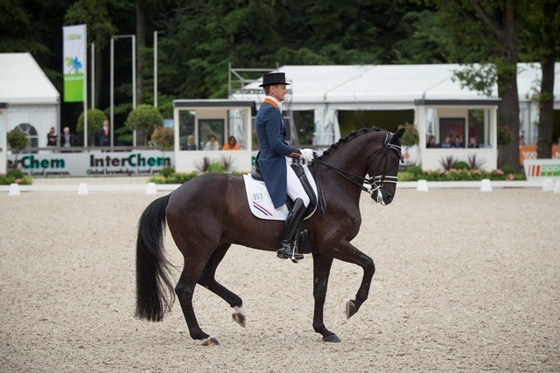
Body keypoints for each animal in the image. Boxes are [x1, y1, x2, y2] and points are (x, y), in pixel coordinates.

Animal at [136, 126, 406, 344]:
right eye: (394, 157)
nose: (388, 196)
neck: (333, 183)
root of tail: (173, 195)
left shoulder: (323, 251)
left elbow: (320, 290)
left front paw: (324, 331)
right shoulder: (334, 244)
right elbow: (369, 264)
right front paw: (353, 305)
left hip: (220, 244)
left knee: (206, 277)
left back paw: (238, 310)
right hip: (198, 250)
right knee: (185, 288)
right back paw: (202, 335)